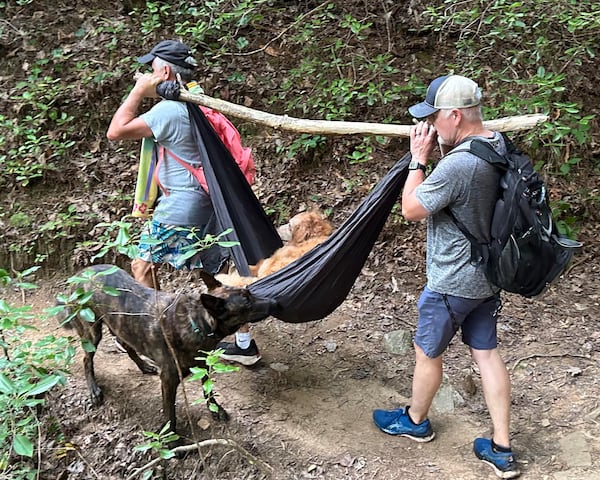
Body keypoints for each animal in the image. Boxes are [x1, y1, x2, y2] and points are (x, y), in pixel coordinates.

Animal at [58, 264, 274, 434]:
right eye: (247, 303)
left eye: (250, 293)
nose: (274, 302)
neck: (197, 322)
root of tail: (79, 273)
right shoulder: (169, 381)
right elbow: (170, 413)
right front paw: (173, 441)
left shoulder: (203, 365)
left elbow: (208, 391)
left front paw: (215, 410)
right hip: (92, 332)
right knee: (87, 359)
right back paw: (94, 390)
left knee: (126, 343)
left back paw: (144, 366)